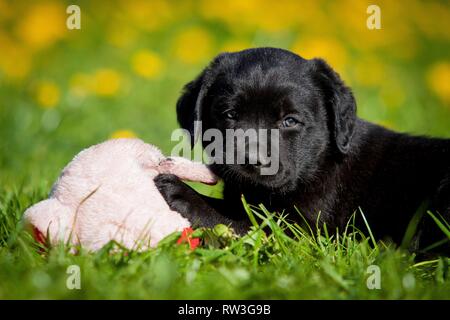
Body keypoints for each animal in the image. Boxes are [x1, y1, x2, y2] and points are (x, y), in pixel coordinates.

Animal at [156, 47, 450, 249]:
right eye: (230, 115)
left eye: (290, 121)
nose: (253, 160)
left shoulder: (302, 233)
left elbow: (241, 222)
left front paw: (182, 193)